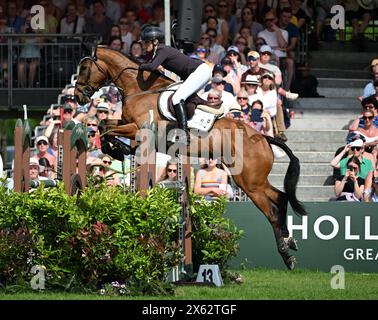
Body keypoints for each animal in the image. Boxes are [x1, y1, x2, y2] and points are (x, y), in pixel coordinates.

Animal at [74, 45, 308, 270]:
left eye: (84, 68)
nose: (78, 96)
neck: (139, 89)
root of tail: (264, 138)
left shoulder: (138, 129)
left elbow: (105, 128)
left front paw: (116, 149)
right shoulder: (125, 123)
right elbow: (105, 125)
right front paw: (117, 149)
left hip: (249, 182)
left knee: (272, 211)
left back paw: (286, 254)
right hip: (253, 180)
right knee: (281, 197)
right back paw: (290, 241)